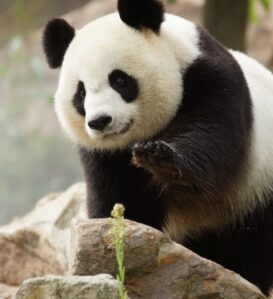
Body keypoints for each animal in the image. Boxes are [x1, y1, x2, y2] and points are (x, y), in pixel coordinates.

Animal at [42, 0, 272, 296]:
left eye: (119, 80)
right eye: (81, 93)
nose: (100, 121)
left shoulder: (212, 80)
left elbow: (213, 137)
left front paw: (160, 158)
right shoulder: (105, 156)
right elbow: (123, 201)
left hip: (256, 191)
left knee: (251, 245)